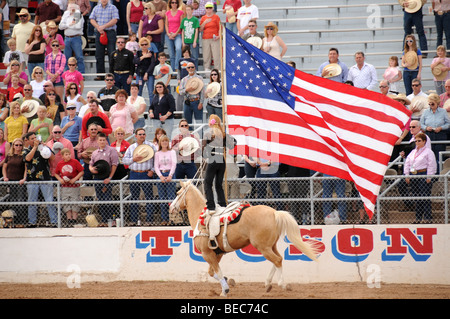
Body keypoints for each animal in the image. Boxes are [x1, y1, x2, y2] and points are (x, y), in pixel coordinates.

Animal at [170, 181, 320, 298]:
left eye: (177, 193)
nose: (171, 207)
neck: (201, 218)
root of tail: (274, 212)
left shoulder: (207, 254)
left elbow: (217, 271)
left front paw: (225, 290)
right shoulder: (217, 254)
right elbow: (212, 272)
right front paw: (227, 282)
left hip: (263, 247)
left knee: (277, 260)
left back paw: (282, 284)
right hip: (271, 246)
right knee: (279, 259)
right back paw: (268, 284)